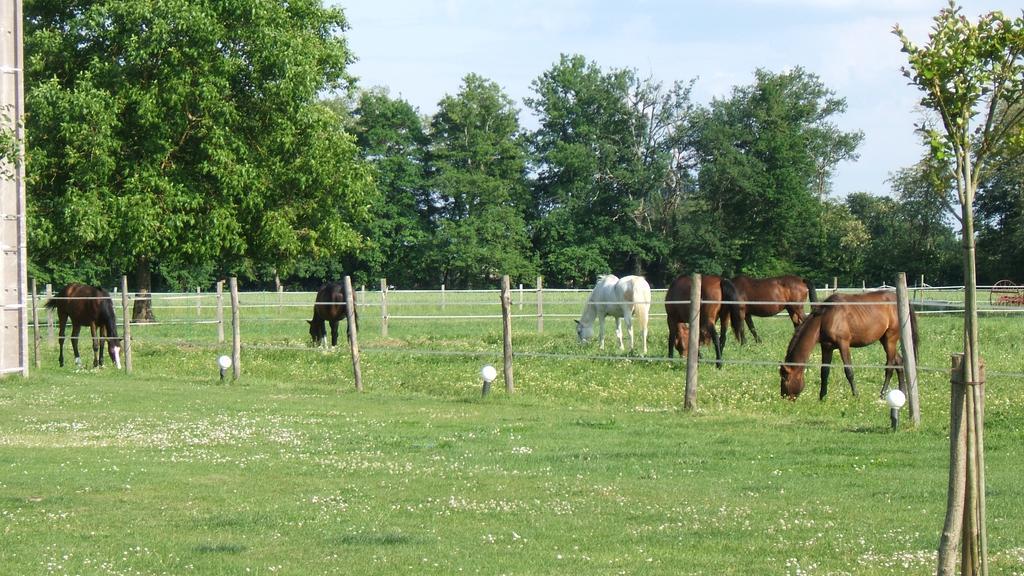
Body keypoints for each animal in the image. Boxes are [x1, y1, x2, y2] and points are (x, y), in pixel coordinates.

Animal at [774, 291, 921, 399]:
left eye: (785, 377)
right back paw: (903, 394)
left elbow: (849, 371)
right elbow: (824, 371)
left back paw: (882, 394)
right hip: (884, 340)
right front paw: (822, 397)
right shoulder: (826, 347)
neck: (825, 317)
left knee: (890, 366)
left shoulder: (843, 344)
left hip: (890, 339)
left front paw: (856, 395)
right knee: (899, 362)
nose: (784, 397)